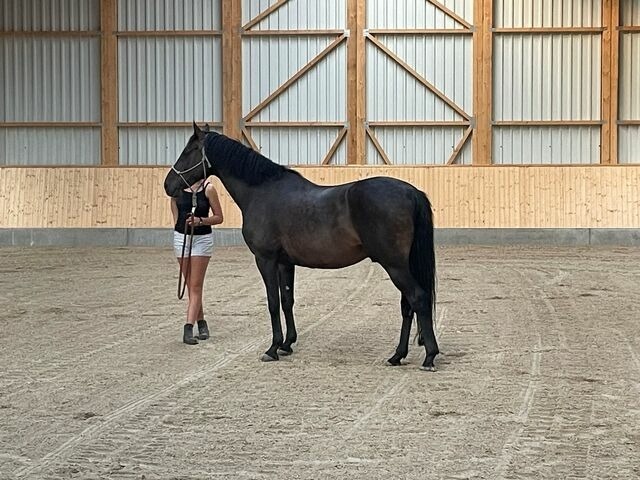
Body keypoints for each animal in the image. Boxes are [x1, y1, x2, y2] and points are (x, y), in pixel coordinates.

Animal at [164, 124, 440, 372]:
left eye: (189, 150)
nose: (168, 185)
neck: (261, 191)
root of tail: (411, 192)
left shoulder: (265, 259)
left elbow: (273, 302)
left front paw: (272, 349)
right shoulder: (285, 263)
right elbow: (287, 300)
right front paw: (287, 344)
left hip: (394, 265)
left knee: (417, 298)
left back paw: (429, 357)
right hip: (401, 264)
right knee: (407, 305)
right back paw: (397, 356)